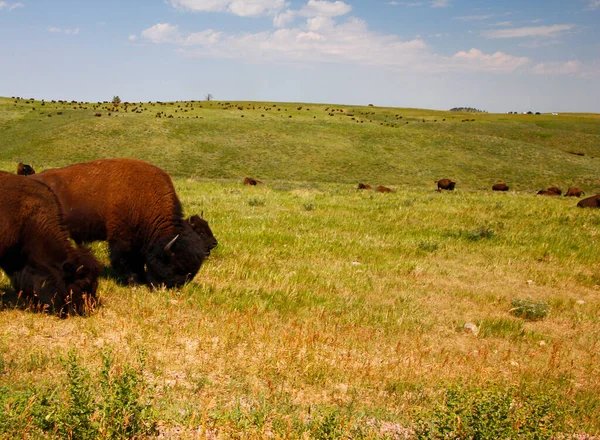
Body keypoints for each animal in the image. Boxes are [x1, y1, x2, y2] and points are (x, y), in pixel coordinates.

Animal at [30, 158, 218, 288]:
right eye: (176, 266)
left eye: (192, 273)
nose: (174, 287)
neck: (145, 196)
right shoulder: (121, 238)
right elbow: (124, 260)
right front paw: (132, 282)